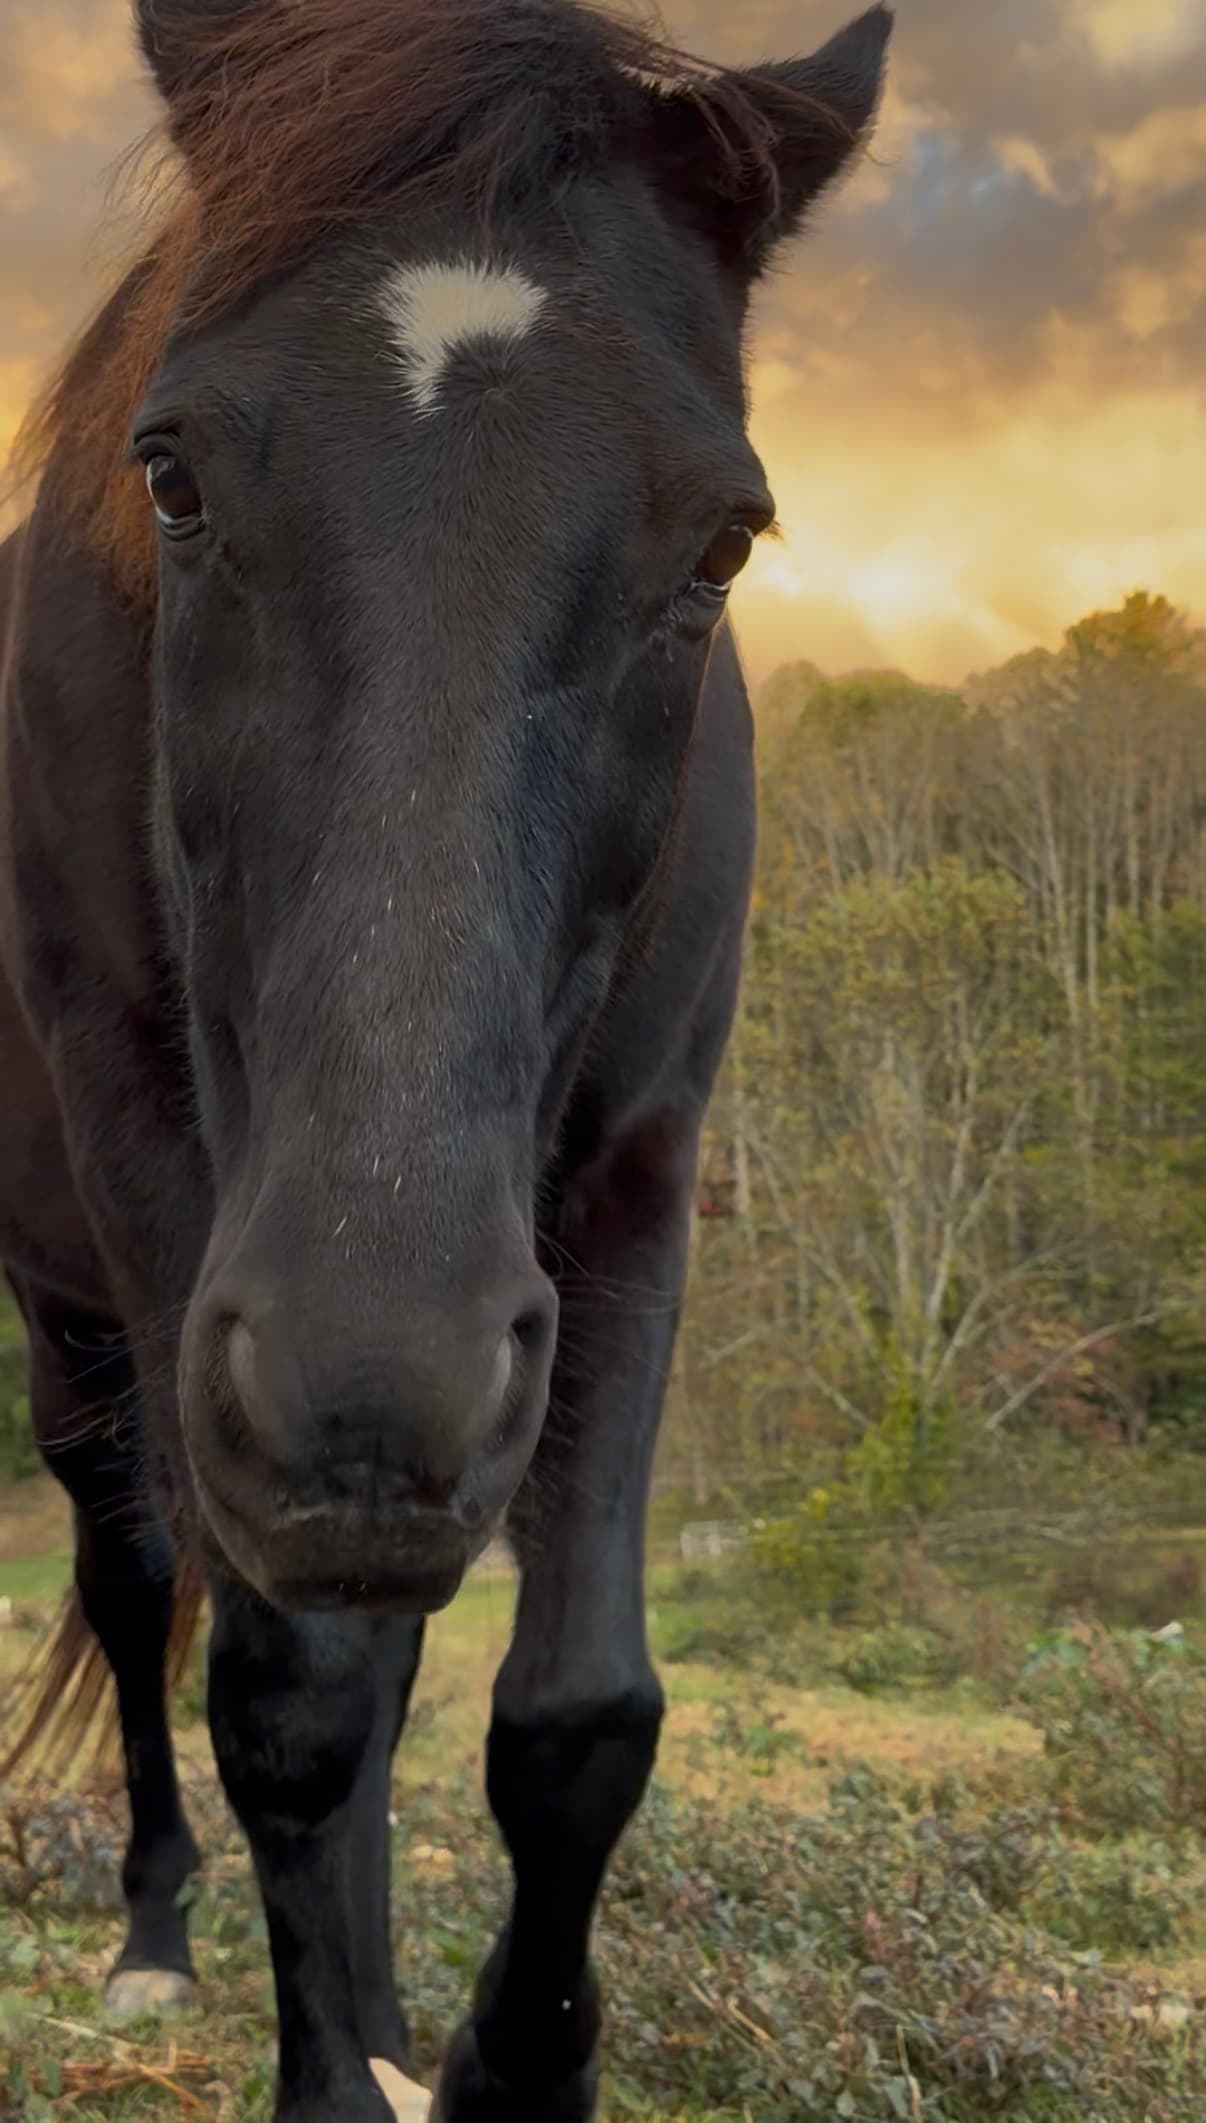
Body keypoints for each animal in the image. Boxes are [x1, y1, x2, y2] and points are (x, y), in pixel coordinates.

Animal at [0, 1, 890, 2114]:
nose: (368, 1386)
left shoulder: (634, 1187)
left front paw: (504, 2062)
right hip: (78, 1316)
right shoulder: (160, 1195)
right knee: (138, 1577)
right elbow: (289, 1695)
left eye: (725, 541)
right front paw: (336, 2067)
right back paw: (156, 1937)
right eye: (169, 477)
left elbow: (576, 1714)